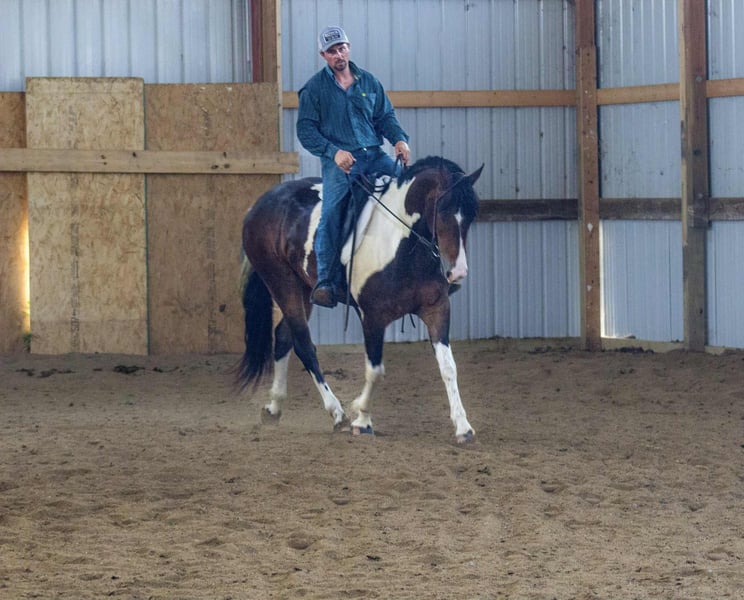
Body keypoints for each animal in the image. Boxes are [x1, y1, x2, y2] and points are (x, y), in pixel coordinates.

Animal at [236, 155, 484, 443]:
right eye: (443, 210)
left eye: (471, 214)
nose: (458, 272)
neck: (401, 245)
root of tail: (259, 204)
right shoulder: (373, 316)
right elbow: (375, 371)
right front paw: (362, 419)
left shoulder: (437, 308)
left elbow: (448, 367)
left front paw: (463, 427)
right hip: (281, 283)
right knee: (303, 344)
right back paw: (337, 413)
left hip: (302, 289)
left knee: (284, 337)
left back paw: (274, 408)